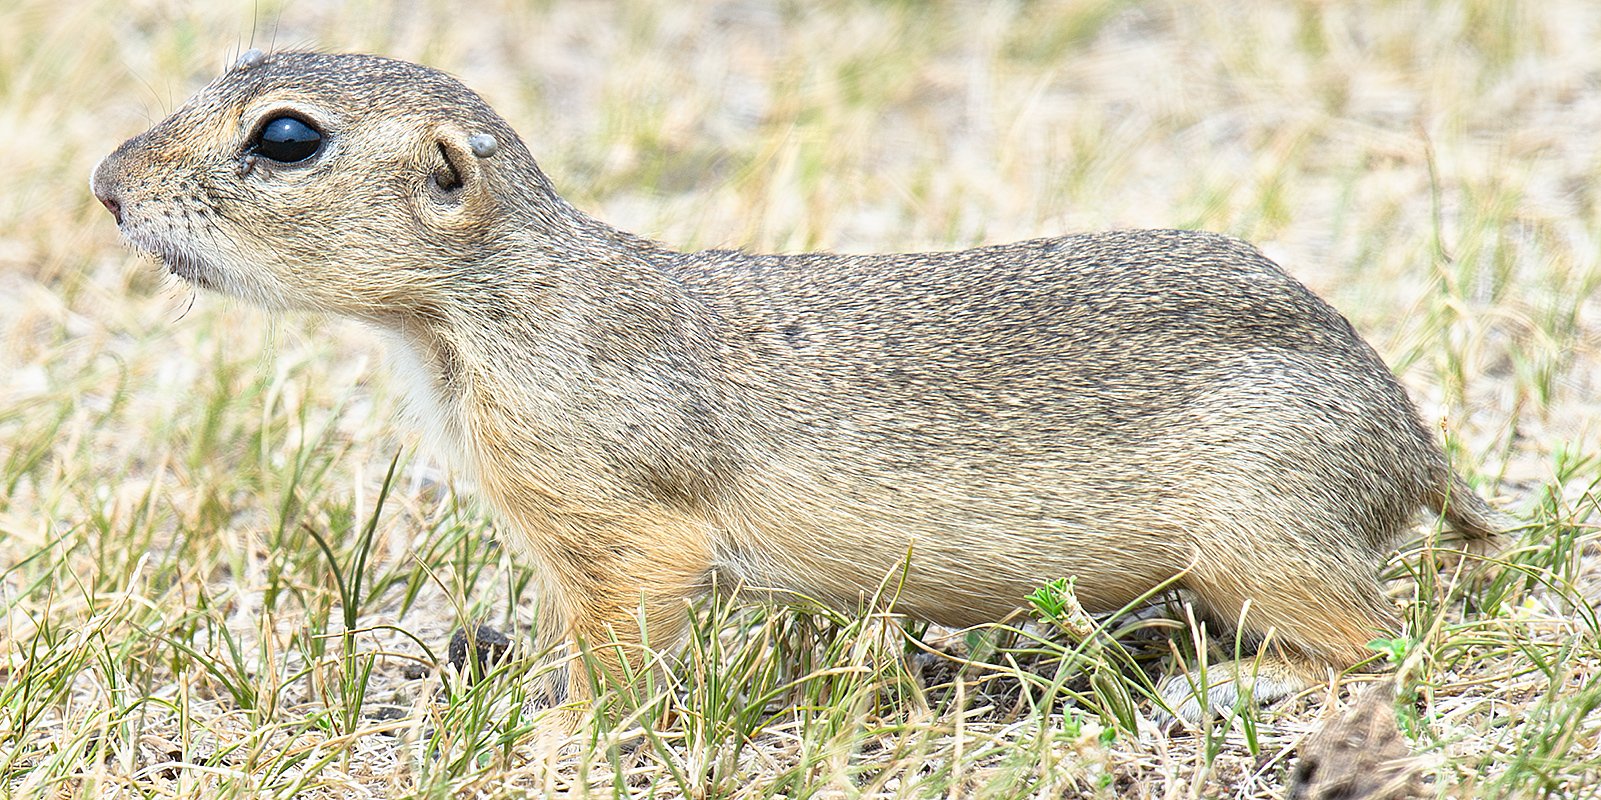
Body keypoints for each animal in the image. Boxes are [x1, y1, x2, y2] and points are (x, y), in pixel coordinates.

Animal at [93, 48, 1504, 726]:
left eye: (284, 136)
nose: (104, 184)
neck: (481, 316)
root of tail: (1410, 445)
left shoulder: (614, 524)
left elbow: (622, 643)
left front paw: (557, 737)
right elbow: (560, 631)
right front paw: (510, 685)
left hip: (1264, 534)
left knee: (1384, 646)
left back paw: (1231, 687)